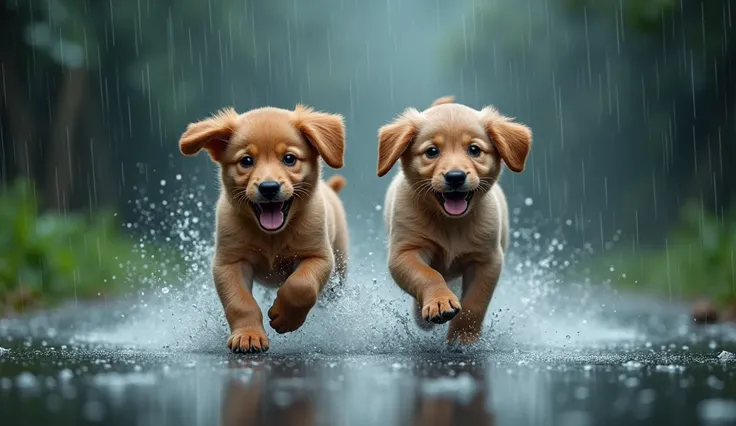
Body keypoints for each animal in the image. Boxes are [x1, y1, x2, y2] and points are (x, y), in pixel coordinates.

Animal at [180, 104, 350, 352]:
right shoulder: (229, 262)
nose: (269, 187)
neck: (272, 237)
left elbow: (302, 285)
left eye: (289, 159)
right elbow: (240, 302)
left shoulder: (319, 256)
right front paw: (248, 336)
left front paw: (285, 317)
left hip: (339, 272)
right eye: (246, 161)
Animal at [376, 95, 532, 342]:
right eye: (432, 151)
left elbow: (474, 305)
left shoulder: (487, 260)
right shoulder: (405, 251)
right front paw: (439, 303)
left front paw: (463, 340)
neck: (450, 223)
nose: (456, 177)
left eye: (474, 149)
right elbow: (427, 275)